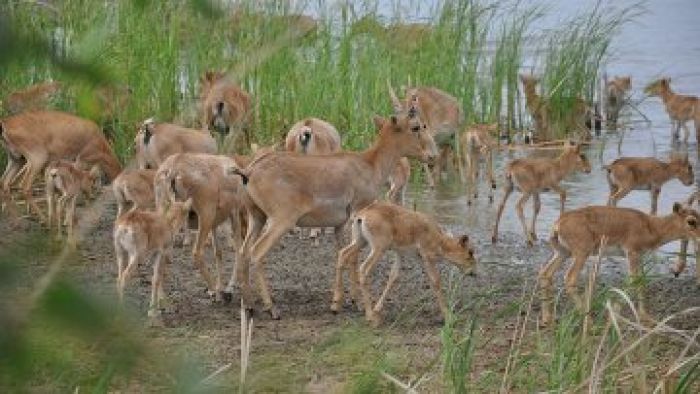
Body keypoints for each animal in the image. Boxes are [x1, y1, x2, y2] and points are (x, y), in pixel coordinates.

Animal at [230, 103, 438, 318]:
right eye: (416, 126)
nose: (432, 156)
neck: (369, 164)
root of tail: (249, 171)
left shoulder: (340, 225)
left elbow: (343, 254)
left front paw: (344, 300)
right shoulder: (357, 212)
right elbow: (353, 257)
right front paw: (354, 303)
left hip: (257, 218)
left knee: (244, 251)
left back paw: (248, 305)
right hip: (280, 221)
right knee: (257, 252)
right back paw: (272, 308)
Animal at [336, 200, 478, 326]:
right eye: (470, 252)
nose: (474, 273)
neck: (439, 240)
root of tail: (362, 215)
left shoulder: (400, 255)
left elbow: (393, 277)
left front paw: (378, 308)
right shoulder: (427, 258)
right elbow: (436, 281)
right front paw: (448, 315)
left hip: (360, 242)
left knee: (342, 254)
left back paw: (336, 304)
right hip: (378, 248)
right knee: (363, 269)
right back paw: (370, 316)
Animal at [540, 203, 700, 326]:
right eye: (691, 221)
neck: (652, 227)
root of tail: (558, 224)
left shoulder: (640, 257)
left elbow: (641, 282)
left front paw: (645, 317)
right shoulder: (632, 252)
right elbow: (634, 280)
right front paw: (618, 313)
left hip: (562, 253)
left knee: (545, 273)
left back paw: (547, 318)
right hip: (581, 254)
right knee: (569, 278)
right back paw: (589, 320)